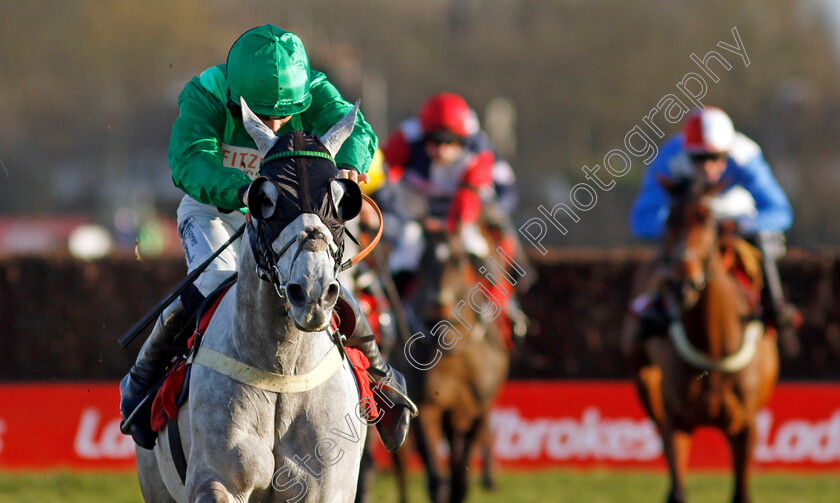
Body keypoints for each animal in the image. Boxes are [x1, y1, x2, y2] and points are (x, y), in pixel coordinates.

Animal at [137, 100, 368, 502]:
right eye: (265, 200)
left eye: (343, 201)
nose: (311, 292)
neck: (281, 372)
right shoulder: (217, 481)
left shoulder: (326, 486)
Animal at [632, 178, 780, 503]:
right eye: (668, 220)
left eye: (708, 220)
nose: (682, 282)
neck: (712, 346)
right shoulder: (678, 422)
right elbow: (678, 487)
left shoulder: (745, 427)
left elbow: (741, 492)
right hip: (645, 382)